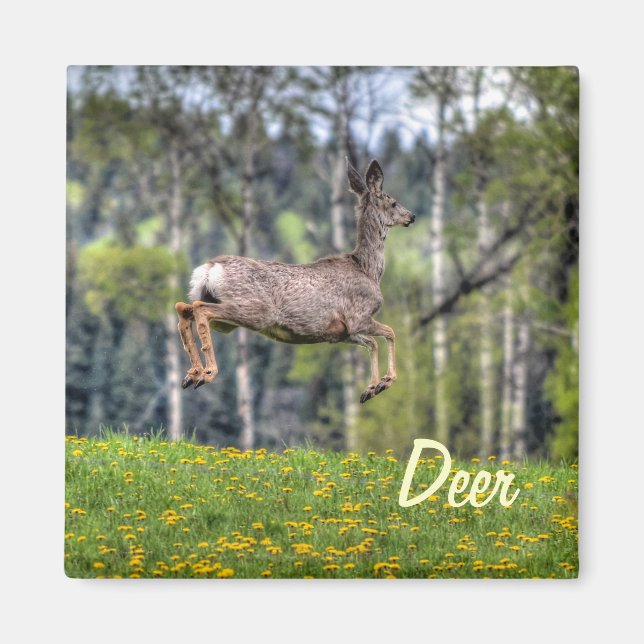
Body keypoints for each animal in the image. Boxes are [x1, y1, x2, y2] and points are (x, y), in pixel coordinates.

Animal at [175, 158, 415, 404]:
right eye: (393, 202)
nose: (411, 216)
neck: (367, 269)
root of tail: (210, 267)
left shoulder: (343, 332)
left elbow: (372, 343)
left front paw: (371, 388)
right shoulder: (359, 316)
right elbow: (390, 332)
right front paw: (385, 381)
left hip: (221, 310)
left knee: (184, 307)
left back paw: (192, 374)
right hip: (255, 310)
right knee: (200, 308)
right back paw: (208, 373)